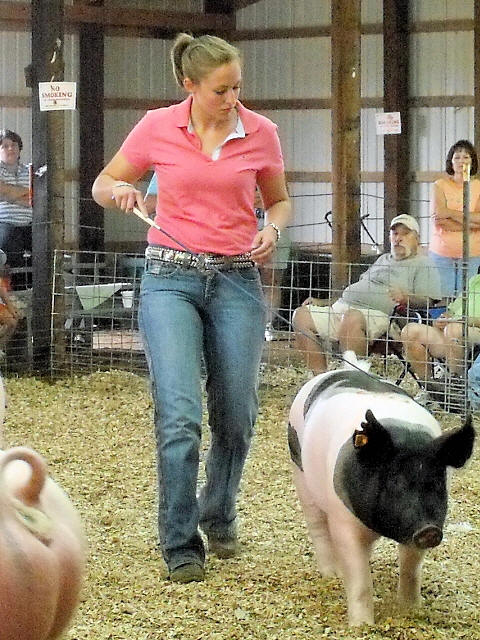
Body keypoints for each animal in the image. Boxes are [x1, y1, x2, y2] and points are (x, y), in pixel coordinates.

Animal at [288, 368, 475, 626]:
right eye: (394, 481)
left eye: (436, 483)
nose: (429, 531)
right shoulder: (343, 521)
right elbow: (359, 579)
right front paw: (361, 626)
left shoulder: (414, 528)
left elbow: (410, 568)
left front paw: (410, 609)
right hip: (300, 473)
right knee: (317, 528)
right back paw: (331, 575)